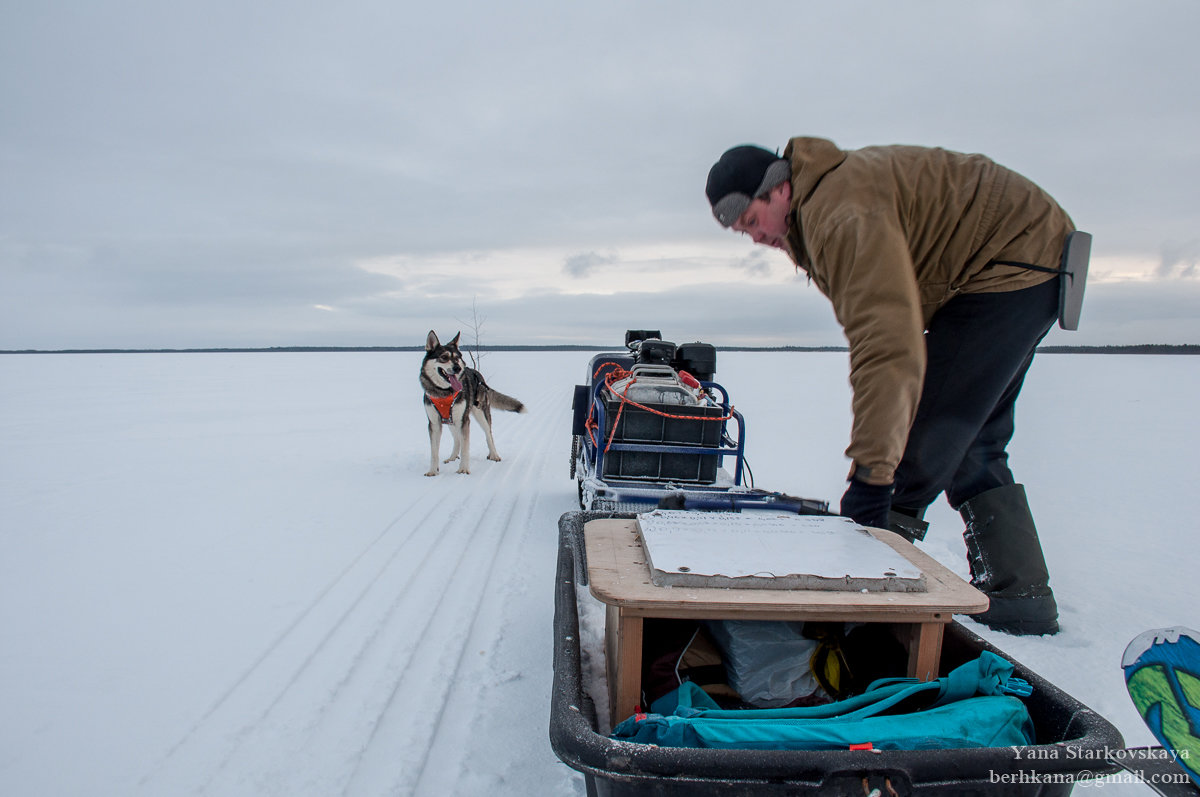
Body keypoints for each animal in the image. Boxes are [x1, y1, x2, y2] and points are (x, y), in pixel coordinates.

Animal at [422, 328, 525, 475]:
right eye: (444, 357)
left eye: (457, 357)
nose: (458, 368)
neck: (444, 392)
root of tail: (478, 375)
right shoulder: (435, 423)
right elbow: (434, 451)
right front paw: (432, 471)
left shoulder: (464, 421)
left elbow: (465, 448)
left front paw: (463, 469)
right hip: (451, 420)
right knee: (456, 439)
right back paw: (452, 457)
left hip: (481, 415)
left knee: (489, 435)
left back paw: (494, 455)